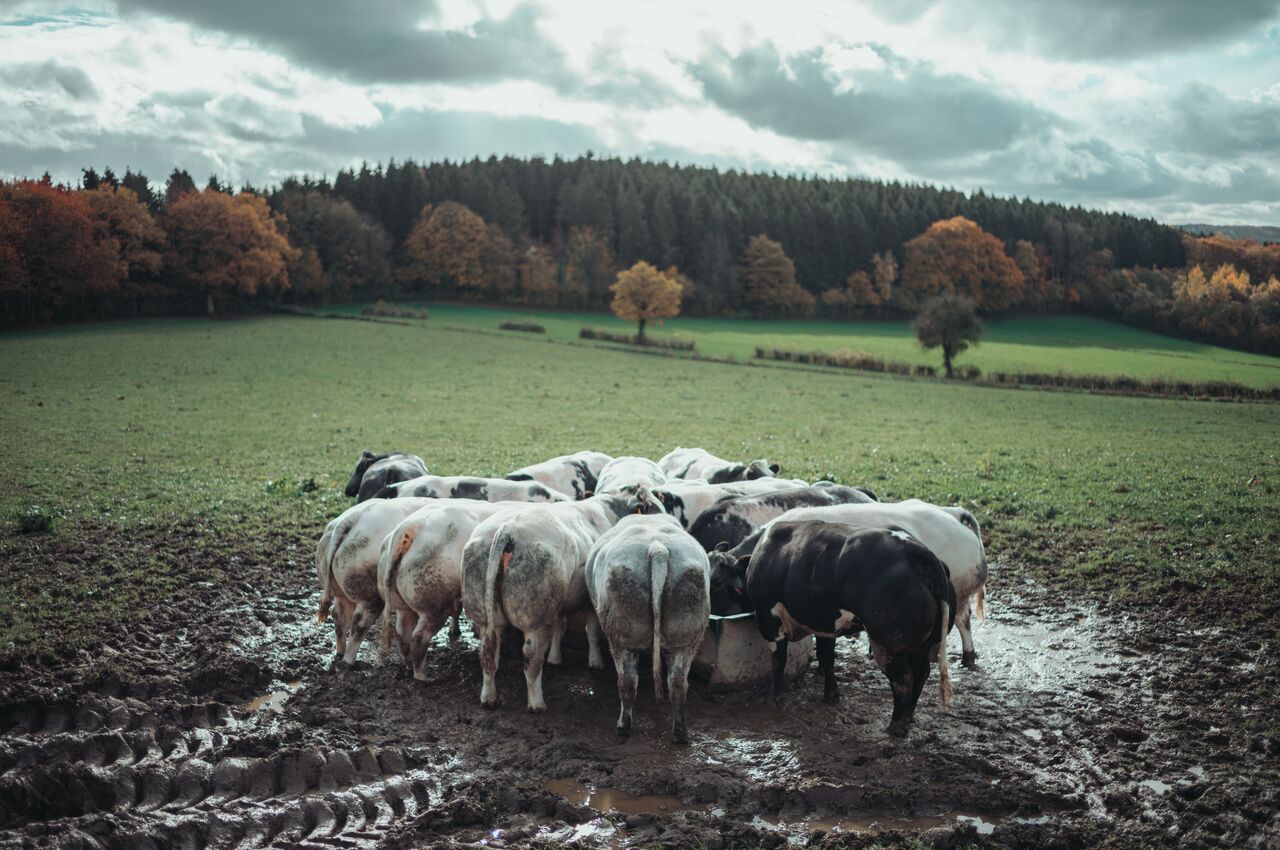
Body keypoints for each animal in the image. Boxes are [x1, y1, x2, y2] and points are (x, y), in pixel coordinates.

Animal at [316, 497, 436, 665]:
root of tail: (351, 519)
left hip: (339, 588)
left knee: (338, 615)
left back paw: (340, 652)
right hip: (370, 595)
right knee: (359, 623)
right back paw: (349, 660)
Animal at [378, 500, 540, 680]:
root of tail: (408, 527)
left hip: (402, 603)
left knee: (402, 631)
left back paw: (408, 665)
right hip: (434, 605)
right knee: (419, 637)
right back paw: (424, 676)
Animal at [461, 493, 658, 712]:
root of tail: (507, 530)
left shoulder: (560, 605)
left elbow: (560, 627)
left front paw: (555, 658)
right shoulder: (590, 601)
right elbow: (592, 632)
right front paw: (595, 662)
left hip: (487, 616)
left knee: (488, 654)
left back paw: (489, 698)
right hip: (536, 619)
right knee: (531, 658)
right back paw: (536, 703)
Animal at [586, 514, 710, 743]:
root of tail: (657, 549)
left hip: (624, 634)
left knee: (627, 682)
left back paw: (623, 726)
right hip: (686, 633)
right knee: (678, 683)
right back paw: (680, 732)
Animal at [746, 522, 956, 736]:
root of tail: (912, 547)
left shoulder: (769, 622)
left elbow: (779, 660)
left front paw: (776, 698)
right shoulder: (825, 625)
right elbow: (826, 658)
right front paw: (831, 696)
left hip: (888, 641)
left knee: (903, 679)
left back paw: (896, 726)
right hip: (921, 644)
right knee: (921, 674)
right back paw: (909, 717)